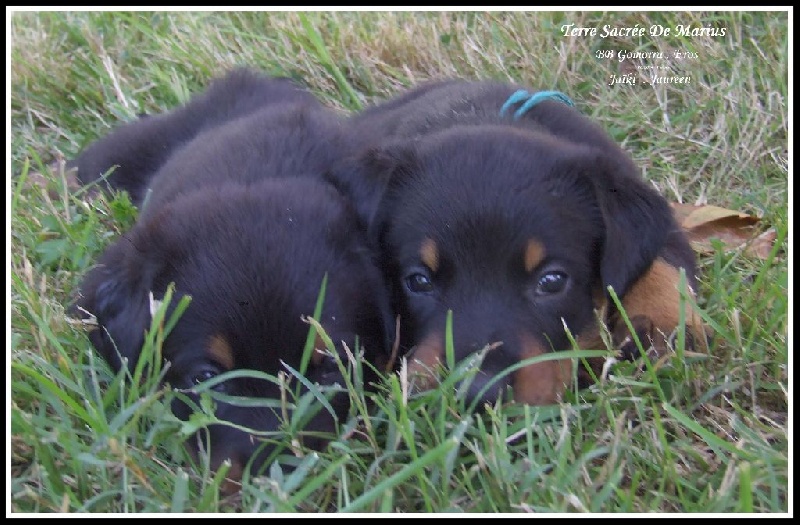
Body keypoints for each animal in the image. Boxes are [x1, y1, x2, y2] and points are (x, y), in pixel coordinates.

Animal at [332, 80, 708, 406]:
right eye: (418, 281)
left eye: (552, 281)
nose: (480, 393)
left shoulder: (664, 226)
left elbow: (664, 264)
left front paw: (663, 328)